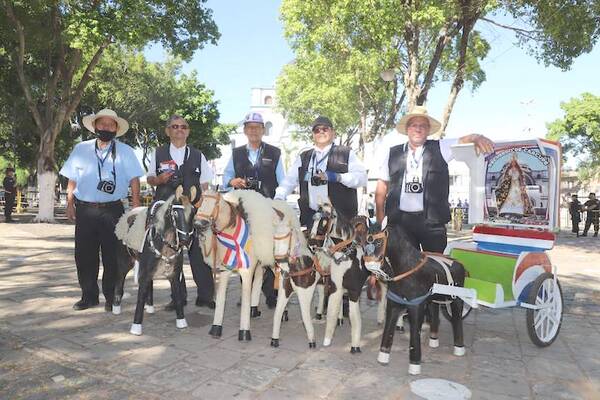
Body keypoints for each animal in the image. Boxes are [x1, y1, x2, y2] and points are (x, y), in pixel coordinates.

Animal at [113, 186, 196, 336]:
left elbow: (178, 296)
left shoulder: (174, 274)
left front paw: (181, 322)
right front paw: (136, 327)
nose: (186, 240)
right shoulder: (144, 274)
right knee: (120, 279)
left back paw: (150, 307)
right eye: (175, 212)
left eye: (193, 211)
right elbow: (140, 297)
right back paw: (116, 307)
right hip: (125, 262)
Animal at [358, 219, 466, 376]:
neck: (407, 268)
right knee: (435, 313)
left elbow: (415, 332)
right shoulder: (393, 304)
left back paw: (459, 347)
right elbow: (388, 330)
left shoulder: (416, 306)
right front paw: (383, 357)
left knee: (457, 319)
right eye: (365, 242)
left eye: (378, 242)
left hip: (456, 300)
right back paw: (434, 340)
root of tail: (460, 265)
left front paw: (414, 364)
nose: (370, 264)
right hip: (434, 299)